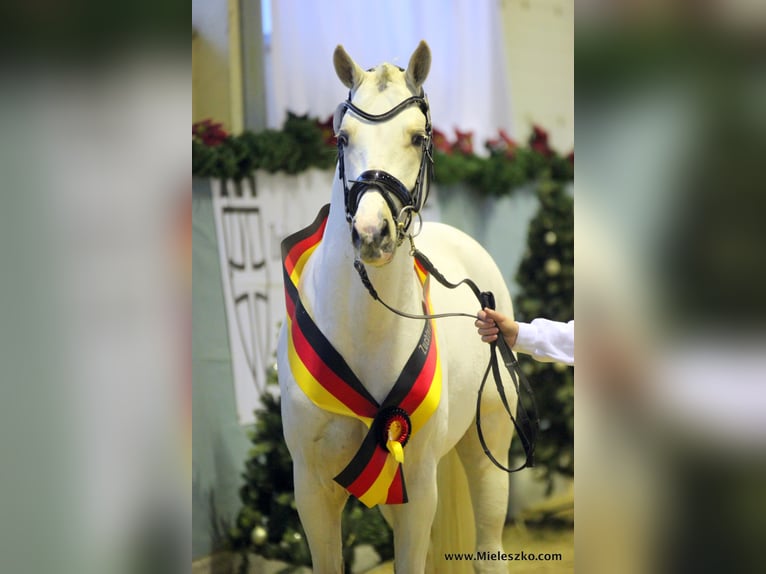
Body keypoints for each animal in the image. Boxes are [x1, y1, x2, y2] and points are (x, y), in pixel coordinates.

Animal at [277, 41, 517, 573]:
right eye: (343, 138)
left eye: (416, 137)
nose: (372, 234)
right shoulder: (312, 491)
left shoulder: (420, 488)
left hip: (486, 447)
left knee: (489, 549)